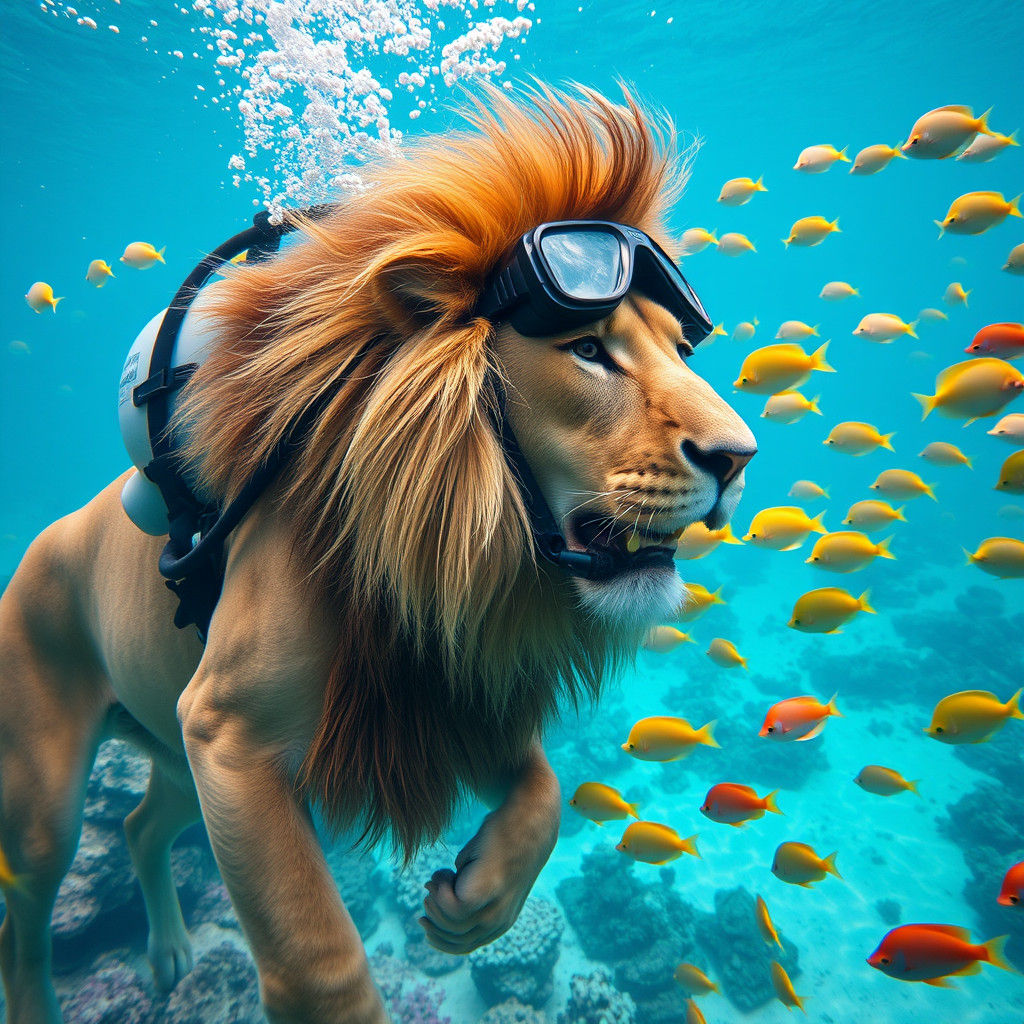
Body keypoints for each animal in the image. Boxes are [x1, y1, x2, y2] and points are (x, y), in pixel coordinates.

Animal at [0, 83, 754, 1024]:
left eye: (682, 351)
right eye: (588, 350)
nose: (740, 457)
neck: (461, 541)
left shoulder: (457, 688)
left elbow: (544, 798)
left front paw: (473, 905)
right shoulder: (227, 736)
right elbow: (317, 955)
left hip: (168, 747)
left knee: (140, 827)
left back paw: (170, 951)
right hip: (56, 789)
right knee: (25, 907)